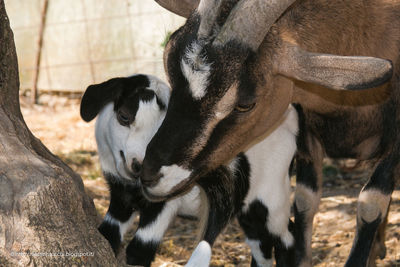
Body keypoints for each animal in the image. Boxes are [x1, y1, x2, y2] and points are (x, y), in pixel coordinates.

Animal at [80, 74, 296, 267]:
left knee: (287, 236)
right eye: (124, 116)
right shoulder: (121, 196)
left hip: (273, 196)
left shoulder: (164, 202)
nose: (139, 166)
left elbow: (140, 248)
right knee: (260, 243)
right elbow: (108, 232)